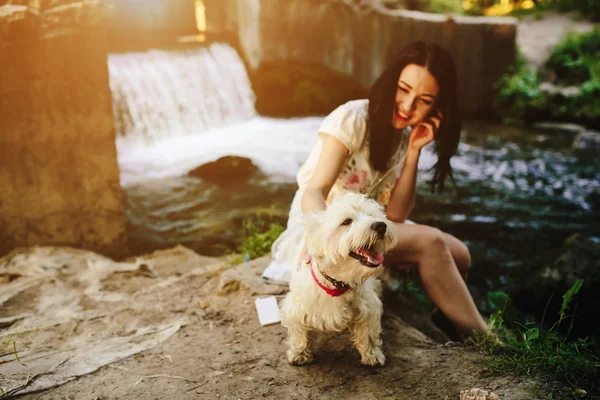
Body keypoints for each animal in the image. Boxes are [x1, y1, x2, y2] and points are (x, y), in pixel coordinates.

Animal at [280, 192, 398, 368]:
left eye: (371, 215)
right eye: (346, 221)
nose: (380, 226)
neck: (338, 282)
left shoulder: (368, 307)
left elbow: (368, 333)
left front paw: (372, 355)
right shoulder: (297, 308)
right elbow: (299, 333)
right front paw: (299, 354)